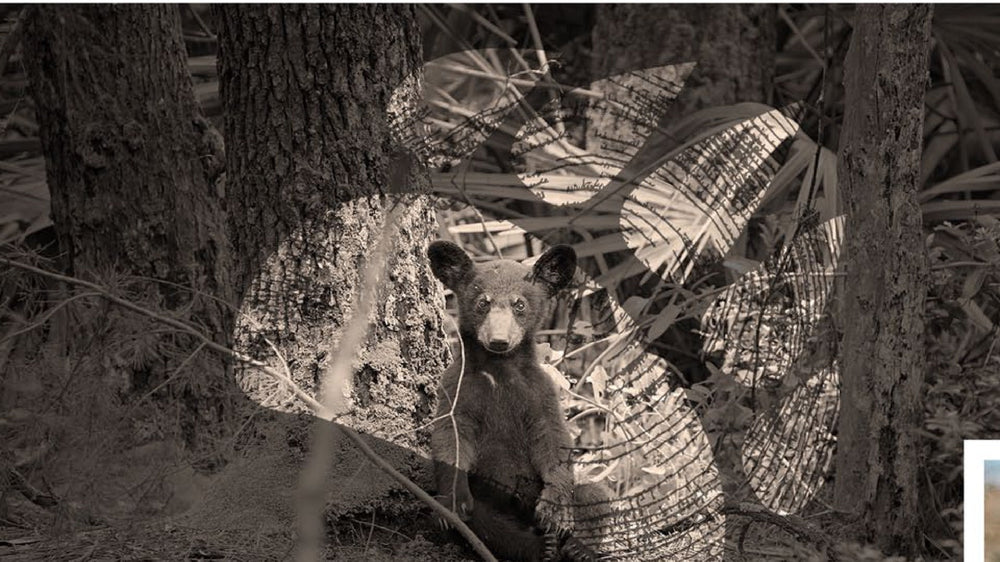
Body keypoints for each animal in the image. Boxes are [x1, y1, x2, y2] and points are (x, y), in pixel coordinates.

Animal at [426, 240, 610, 562]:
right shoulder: (456, 389)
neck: (500, 371)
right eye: (483, 303)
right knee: (487, 523)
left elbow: (554, 437)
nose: (499, 340)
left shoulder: (541, 392)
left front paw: (555, 512)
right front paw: (450, 501)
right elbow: (451, 436)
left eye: (519, 304)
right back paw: (540, 547)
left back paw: (578, 547)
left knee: (595, 494)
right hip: (487, 500)